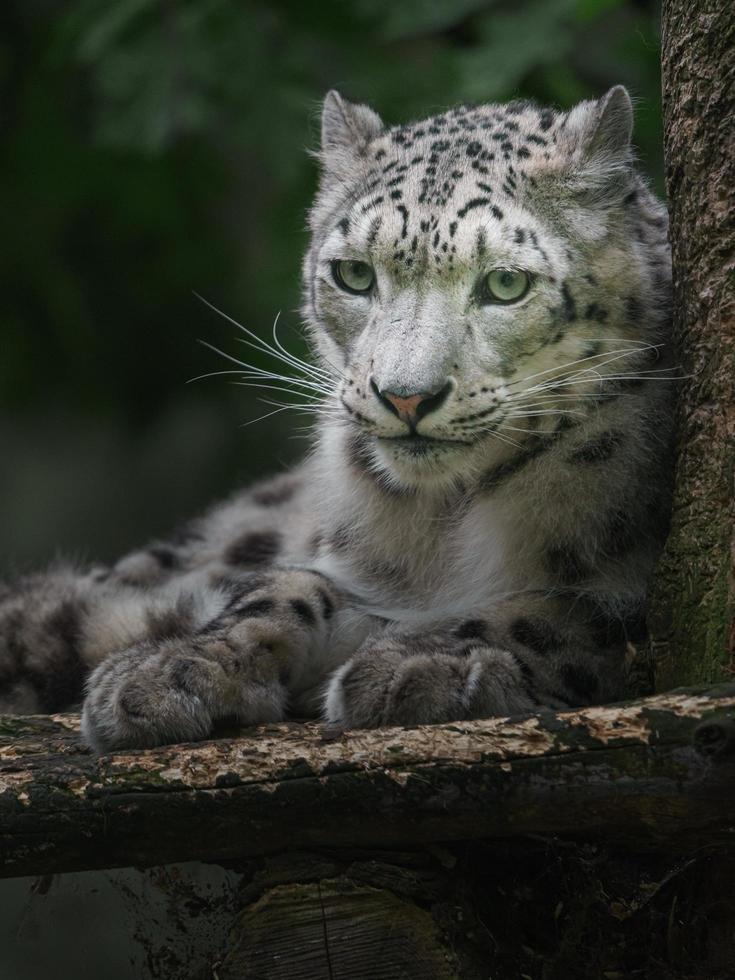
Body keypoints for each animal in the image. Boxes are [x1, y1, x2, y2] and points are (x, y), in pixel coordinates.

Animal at [0, 88, 672, 756]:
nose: (406, 398)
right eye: (354, 274)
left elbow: (571, 615)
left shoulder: (632, 584)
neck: (441, 524)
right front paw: (174, 667)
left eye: (505, 283)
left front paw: (431, 662)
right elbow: (283, 588)